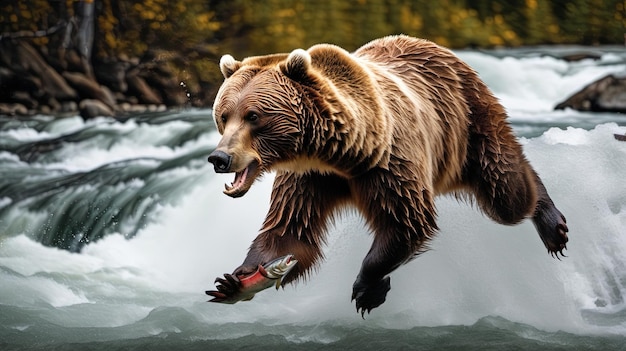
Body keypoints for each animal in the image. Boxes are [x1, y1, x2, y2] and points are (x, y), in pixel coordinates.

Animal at [205, 35, 564, 316]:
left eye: (254, 116)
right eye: (224, 115)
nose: (219, 158)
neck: (339, 152)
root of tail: (440, 48)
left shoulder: (388, 163)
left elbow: (405, 222)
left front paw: (366, 289)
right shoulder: (307, 178)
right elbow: (290, 232)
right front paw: (233, 281)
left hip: (468, 119)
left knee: (506, 192)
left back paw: (552, 224)